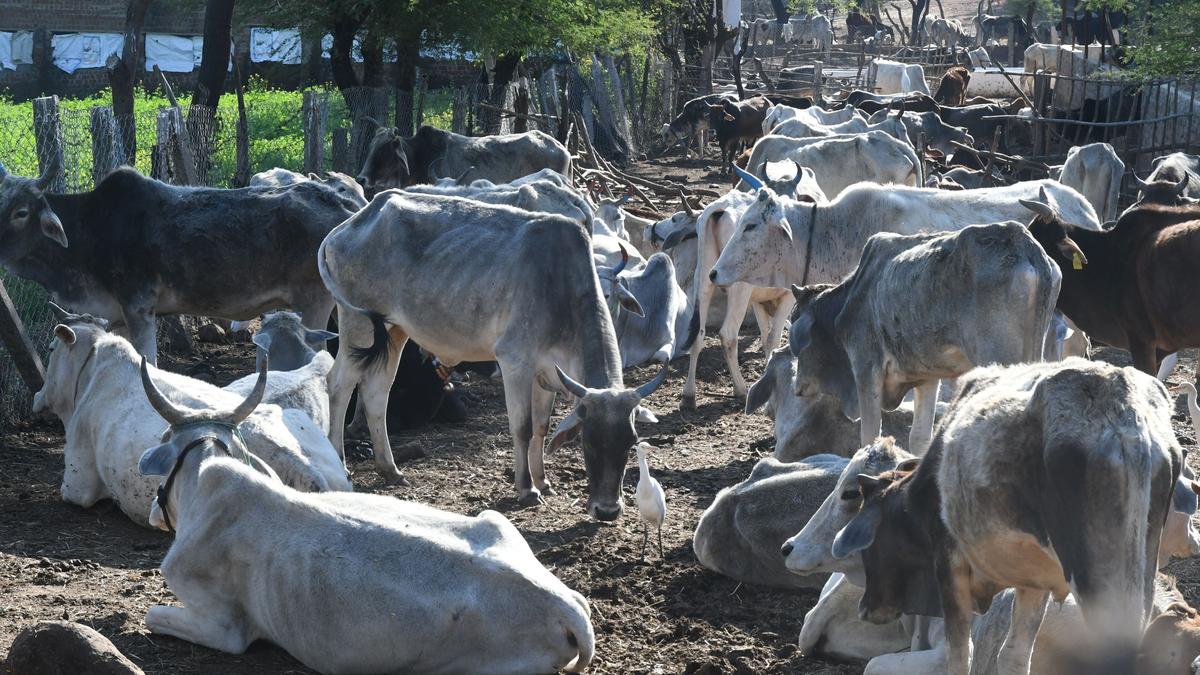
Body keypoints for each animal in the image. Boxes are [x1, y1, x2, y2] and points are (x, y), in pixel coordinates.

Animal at [136, 364, 594, 674]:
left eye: (163, 439)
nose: (156, 514)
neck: (207, 484)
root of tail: (566, 607)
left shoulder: (224, 627)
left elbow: (152, 615)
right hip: (495, 520)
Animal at [318, 191, 675, 519]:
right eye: (587, 440)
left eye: (630, 441)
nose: (608, 511)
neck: (561, 289)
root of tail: (348, 225)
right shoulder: (515, 362)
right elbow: (523, 427)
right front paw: (527, 489)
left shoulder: (547, 374)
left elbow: (542, 426)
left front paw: (543, 481)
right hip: (358, 325)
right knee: (338, 384)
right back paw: (340, 463)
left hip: (395, 332)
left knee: (377, 392)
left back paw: (390, 469)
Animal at [785, 222, 1059, 454]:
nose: (797, 387)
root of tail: (1024, 242)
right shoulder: (927, 376)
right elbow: (919, 438)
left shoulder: (866, 367)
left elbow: (869, 434)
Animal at [832, 359, 1185, 674]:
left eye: (871, 545)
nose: (865, 608)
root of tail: (1121, 409)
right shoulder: (1036, 580)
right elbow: (1013, 655)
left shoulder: (949, 563)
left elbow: (960, 657)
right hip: (1139, 573)